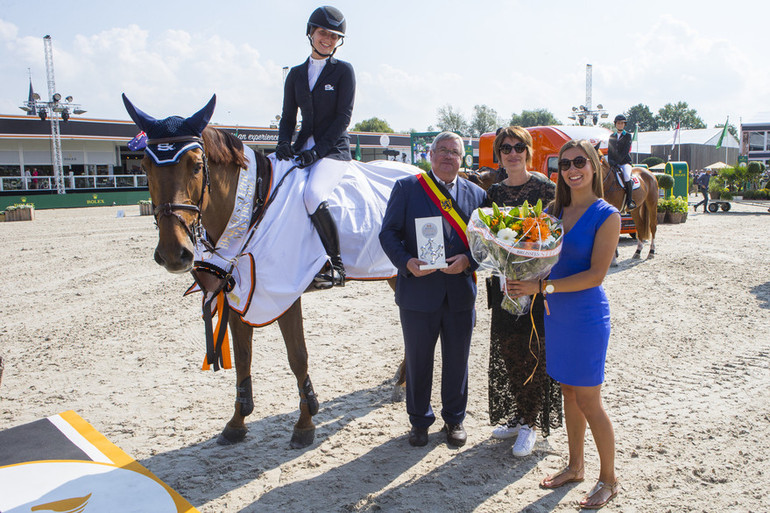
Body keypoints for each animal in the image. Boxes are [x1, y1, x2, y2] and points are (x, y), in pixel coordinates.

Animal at [121, 94, 402, 446]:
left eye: (196, 165)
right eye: (145, 167)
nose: (174, 254)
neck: (255, 202)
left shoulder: (282, 291)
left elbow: (297, 356)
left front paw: (305, 422)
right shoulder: (235, 291)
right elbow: (243, 357)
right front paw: (237, 421)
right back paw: (402, 380)